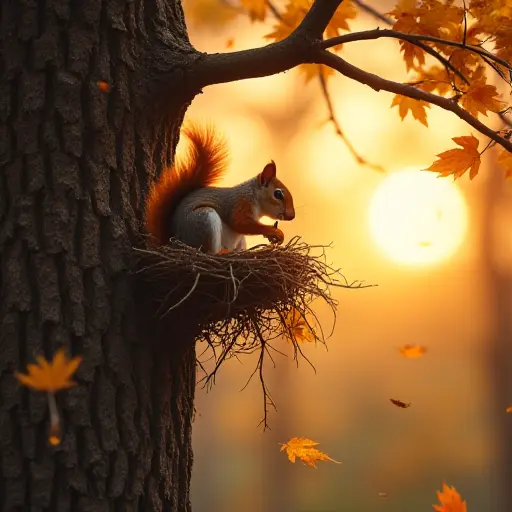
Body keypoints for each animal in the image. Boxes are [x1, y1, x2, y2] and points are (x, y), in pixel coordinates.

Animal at [144, 126, 296, 254]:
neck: (253, 195)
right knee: (210, 252)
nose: (292, 216)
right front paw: (274, 232)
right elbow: (240, 223)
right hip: (204, 220)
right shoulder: (239, 203)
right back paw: (223, 252)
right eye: (278, 194)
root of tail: (173, 241)